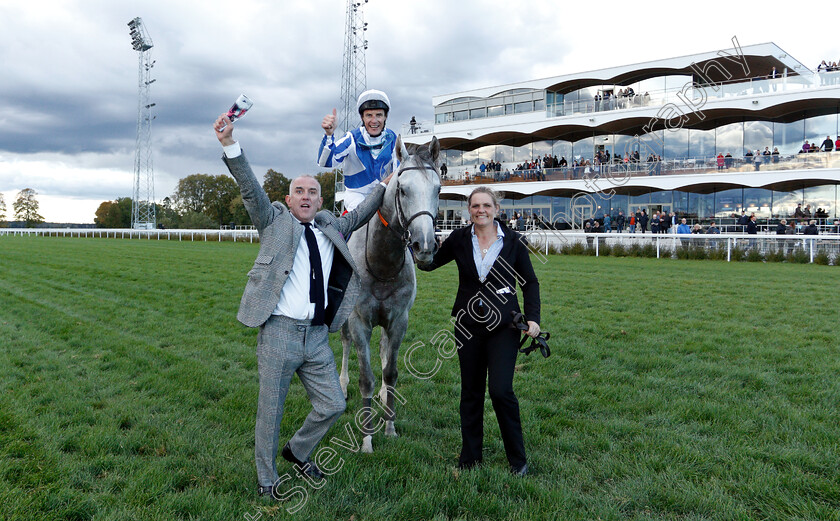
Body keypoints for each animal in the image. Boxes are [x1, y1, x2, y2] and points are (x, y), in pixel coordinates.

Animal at [340, 134, 442, 450]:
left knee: (384, 352)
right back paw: (342, 386)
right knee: (345, 344)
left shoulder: (398, 321)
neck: (381, 263)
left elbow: (391, 372)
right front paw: (367, 440)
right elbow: (366, 378)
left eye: (438, 189)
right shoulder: (359, 321)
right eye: (403, 189)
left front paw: (390, 427)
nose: (425, 246)